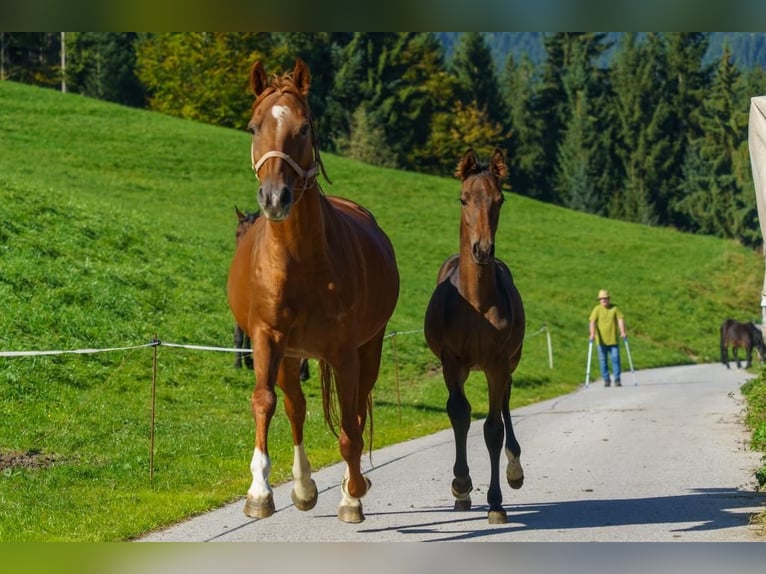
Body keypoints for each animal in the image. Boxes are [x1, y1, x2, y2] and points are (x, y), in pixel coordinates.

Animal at [426, 148, 528, 528]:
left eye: (500, 199)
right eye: (463, 198)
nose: (482, 250)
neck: (476, 304)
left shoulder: (497, 362)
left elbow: (493, 428)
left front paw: (496, 502)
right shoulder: (451, 360)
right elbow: (459, 413)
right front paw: (461, 484)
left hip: (508, 361)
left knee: (506, 400)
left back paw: (515, 468)